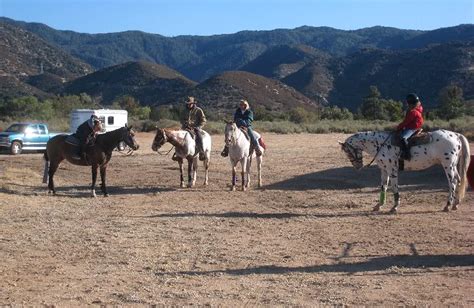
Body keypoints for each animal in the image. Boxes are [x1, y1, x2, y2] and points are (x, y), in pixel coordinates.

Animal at [340, 129, 470, 213]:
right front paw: (378, 206)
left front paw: (394, 207)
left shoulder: (392, 169)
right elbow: (383, 187)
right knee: (458, 180)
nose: (358, 166)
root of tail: (456, 135)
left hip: (447, 165)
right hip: (453, 165)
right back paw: (455, 204)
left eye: (348, 152)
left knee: (452, 182)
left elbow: (394, 188)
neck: (381, 144)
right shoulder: (384, 170)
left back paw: (447, 205)